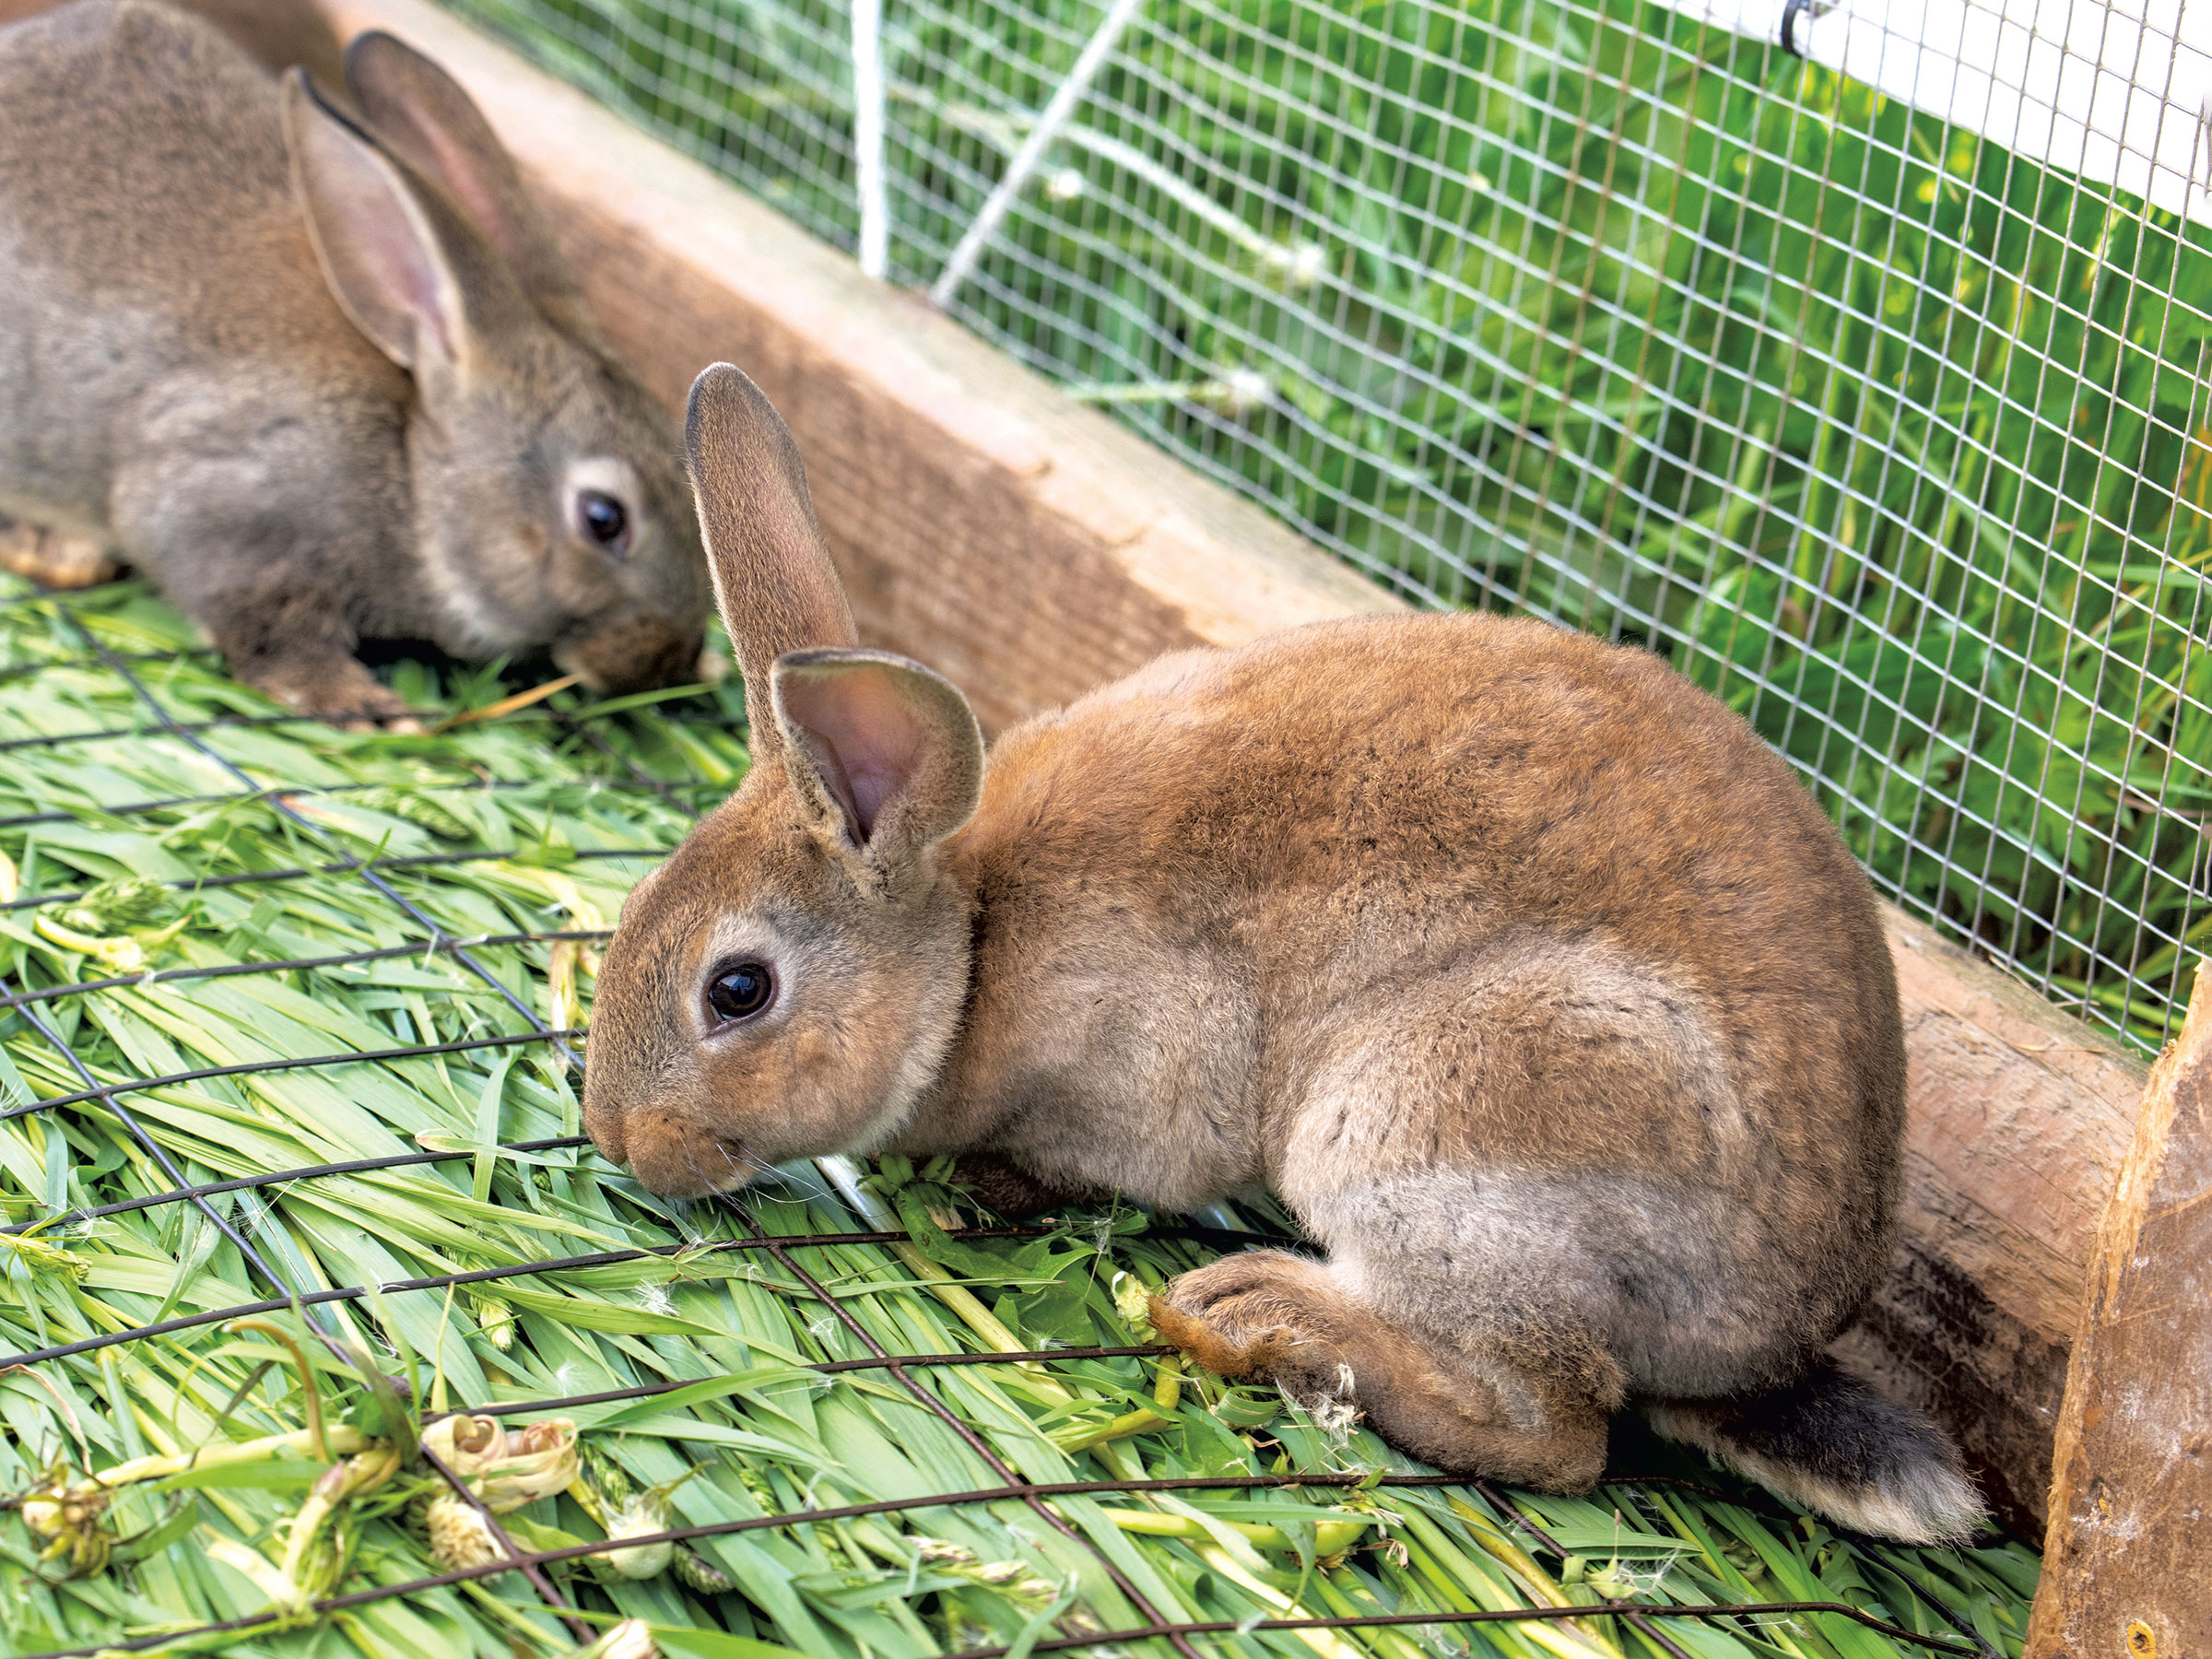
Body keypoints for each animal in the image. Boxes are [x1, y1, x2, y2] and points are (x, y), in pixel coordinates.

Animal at [0, 0, 710, 724]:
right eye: (603, 520)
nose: (663, 661)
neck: (414, 477)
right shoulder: (228, 510)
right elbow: (267, 625)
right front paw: (360, 702)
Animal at [579, 363, 1984, 1545]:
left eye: (738, 991)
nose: (622, 1143)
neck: (973, 947)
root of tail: (1776, 1336)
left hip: (1437, 1122)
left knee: (1563, 1429)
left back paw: (1260, 1317)